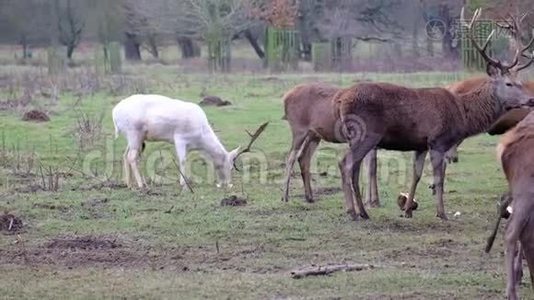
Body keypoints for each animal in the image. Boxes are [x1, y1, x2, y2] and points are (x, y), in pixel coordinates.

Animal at [112, 94, 268, 189]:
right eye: (230, 167)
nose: (227, 184)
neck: (200, 137)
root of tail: (114, 112)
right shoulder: (179, 138)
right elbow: (182, 160)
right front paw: (184, 184)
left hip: (136, 137)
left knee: (125, 155)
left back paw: (130, 184)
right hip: (133, 133)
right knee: (132, 157)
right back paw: (141, 185)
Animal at [336, 7, 534, 220]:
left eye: (520, 82)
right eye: (509, 83)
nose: (531, 99)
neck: (462, 114)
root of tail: (341, 100)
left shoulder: (420, 144)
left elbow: (416, 175)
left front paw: (407, 210)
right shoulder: (437, 141)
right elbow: (439, 178)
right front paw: (441, 213)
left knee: (354, 167)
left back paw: (362, 211)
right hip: (366, 133)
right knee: (346, 164)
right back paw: (353, 211)